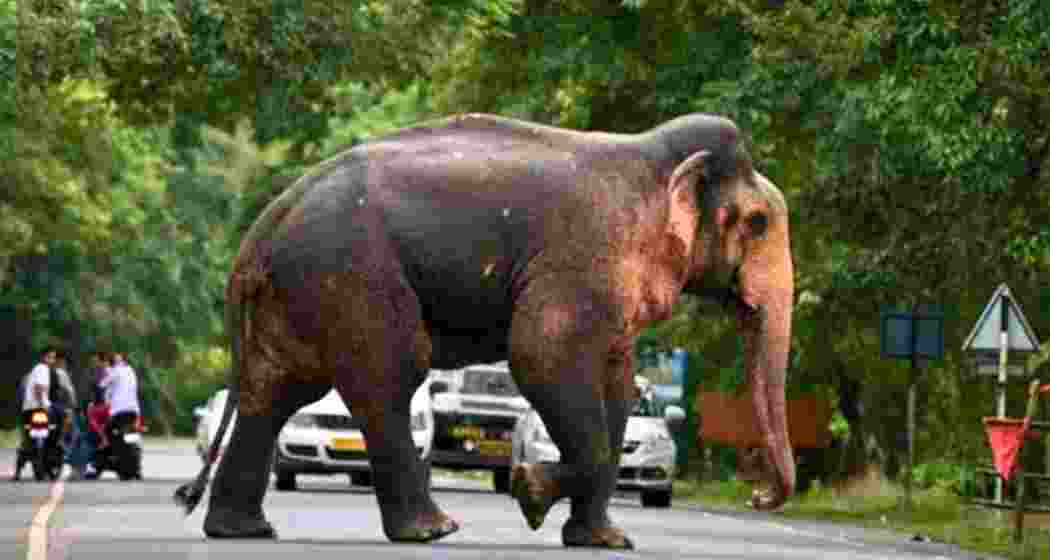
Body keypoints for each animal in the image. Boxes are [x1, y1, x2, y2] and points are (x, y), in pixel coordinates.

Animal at [174, 112, 795, 550]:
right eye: (758, 222)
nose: (757, 493)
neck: (650, 157)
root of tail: (266, 222)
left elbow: (616, 386)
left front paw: (605, 541)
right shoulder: (578, 262)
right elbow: (541, 358)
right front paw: (529, 491)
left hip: (297, 292)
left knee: (274, 391)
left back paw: (243, 532)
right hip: (349, 275)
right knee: (388, 377)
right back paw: (433, 530)